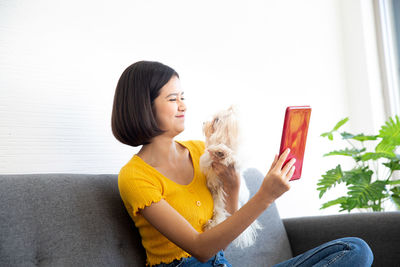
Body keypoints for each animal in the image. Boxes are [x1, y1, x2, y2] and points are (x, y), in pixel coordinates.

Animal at [200, 105, 262, 248]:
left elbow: (233, 156)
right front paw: (218, 150)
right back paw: (211, 224)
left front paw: (224, 152)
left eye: (216, 120)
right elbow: (209, 155)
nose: (204, 122)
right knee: (219, 214)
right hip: (217, 201)